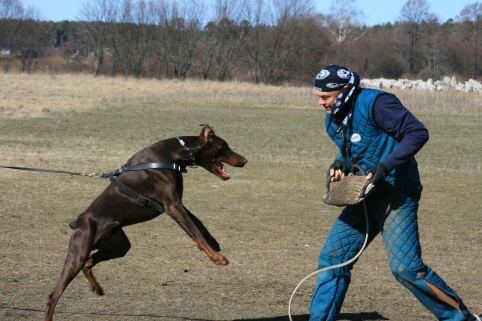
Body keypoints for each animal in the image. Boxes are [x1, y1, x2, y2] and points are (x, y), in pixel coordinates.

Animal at [44, 124, 249, 320]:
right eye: (224, 148)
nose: (245, 161)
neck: (172, 155)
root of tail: (77, 222)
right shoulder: (172, 205)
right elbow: (195, 232)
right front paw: (217, 258)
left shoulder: (177, 203)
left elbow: (199, 226)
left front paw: (214, 246)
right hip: (78, 252)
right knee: (54, 294)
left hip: (118, 245)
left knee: (88, 263)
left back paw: (97, 288)